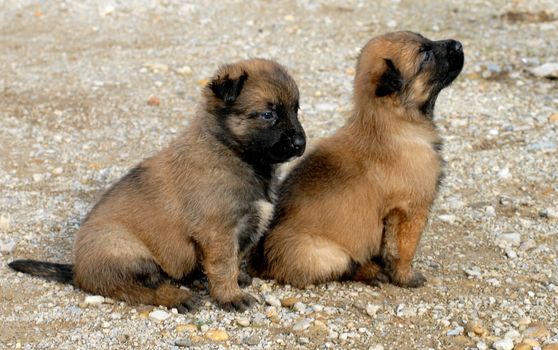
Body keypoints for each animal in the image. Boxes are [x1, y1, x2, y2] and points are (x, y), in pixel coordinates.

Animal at [8, 58, 306, 312]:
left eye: (296, 109)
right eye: (268, 114)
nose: (300, 143)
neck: (229, 149)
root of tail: (78, 270)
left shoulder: (245, 226)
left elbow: (233, 259)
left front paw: (236, 280)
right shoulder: (217, 231)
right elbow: (223, 266)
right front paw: (230, 295)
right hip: (124, 250)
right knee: (137, 289)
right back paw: (179, 297)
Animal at [252, 30, 466, 288]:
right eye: (425, 55)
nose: (459, 44)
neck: (395, 124)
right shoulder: (410, 210)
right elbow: (404, 249)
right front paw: (407, 277)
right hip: (325, 253)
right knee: (348, 267)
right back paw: (372, 271)